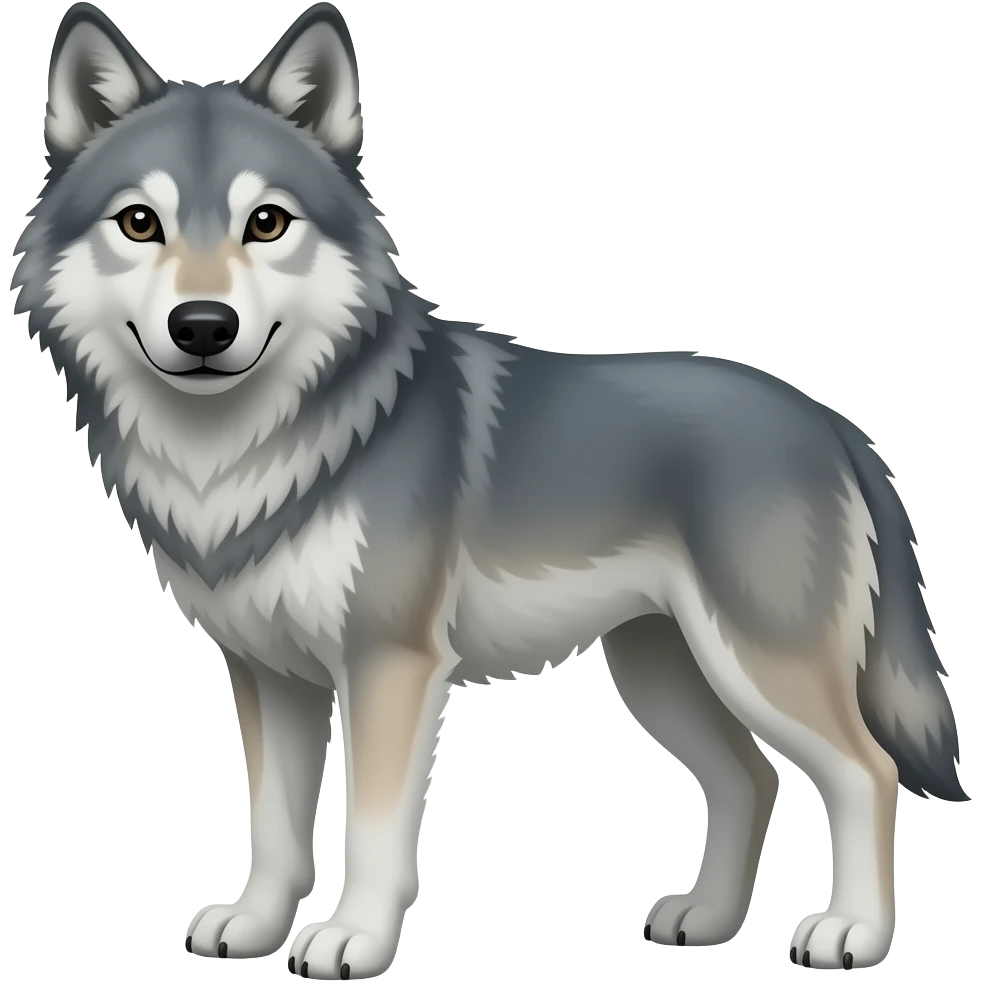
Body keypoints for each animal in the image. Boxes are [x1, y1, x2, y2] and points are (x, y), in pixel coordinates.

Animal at [10, 2, 967, 977]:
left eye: (267, 222)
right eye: (139, 222)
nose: (203, 326)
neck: (242, 454)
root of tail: (833, 423)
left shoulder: (389, 665)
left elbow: (374, 829)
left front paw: (353, 937)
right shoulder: (268, 673)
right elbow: (274, 826)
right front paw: (254, 924)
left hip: (756, 664)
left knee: (866, 771)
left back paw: (851, 931)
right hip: (661, 671)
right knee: (751, 776)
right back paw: (705, 918)